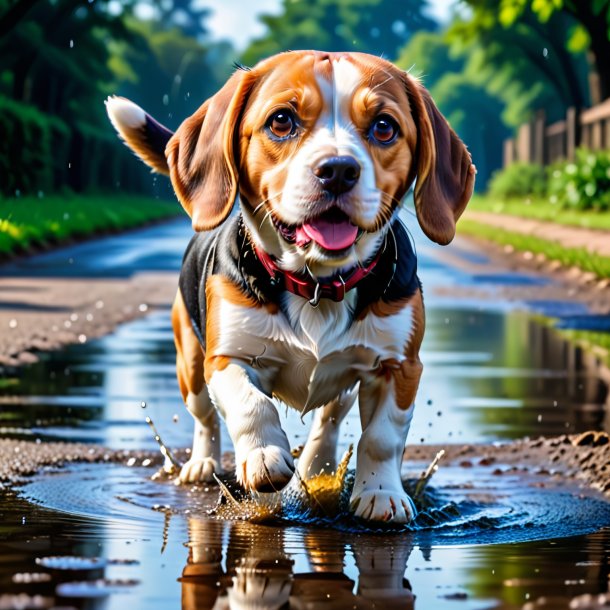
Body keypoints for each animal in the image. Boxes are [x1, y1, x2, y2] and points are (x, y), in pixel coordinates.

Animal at [105, 50, 476, 520]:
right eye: (281, 121)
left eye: (384, 126)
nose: (338, 170)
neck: (317, 282)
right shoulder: (225, 357)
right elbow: (251, 405)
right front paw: (263, 458)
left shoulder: (399, 365)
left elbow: (382, 437)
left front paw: (380, 494)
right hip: (189, 360)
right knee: (205, 417)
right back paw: (203, 464)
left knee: (330, 418)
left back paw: (318, 470)